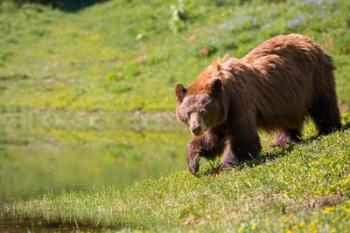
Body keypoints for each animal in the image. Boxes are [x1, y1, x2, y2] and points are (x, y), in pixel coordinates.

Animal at [175, 33, 342, 175]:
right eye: (188, 113)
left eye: (203, 110)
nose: (196, 128)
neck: (226, 92)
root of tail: (310, 40)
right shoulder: (222, 116)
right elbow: (213, 139)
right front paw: (193, 163)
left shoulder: (239, 101)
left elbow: (242, 137)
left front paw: (225, 165)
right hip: (287, 97)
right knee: (288, 119)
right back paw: (283, 141)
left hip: (315, 78)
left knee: (323, 105)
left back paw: (328, 129)